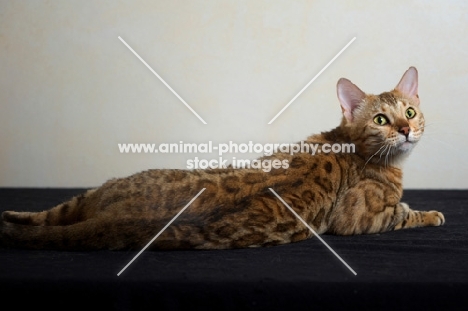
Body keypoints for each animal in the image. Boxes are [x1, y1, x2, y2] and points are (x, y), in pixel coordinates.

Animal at [0, 66, 444, 251]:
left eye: (410, 111)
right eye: (382, 119)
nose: (406, 129)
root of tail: (110, 212)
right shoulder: (358, 219)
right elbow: (403, 212)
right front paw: (432, 214)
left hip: (94, 193)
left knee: (48, 214)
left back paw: (11, 217)